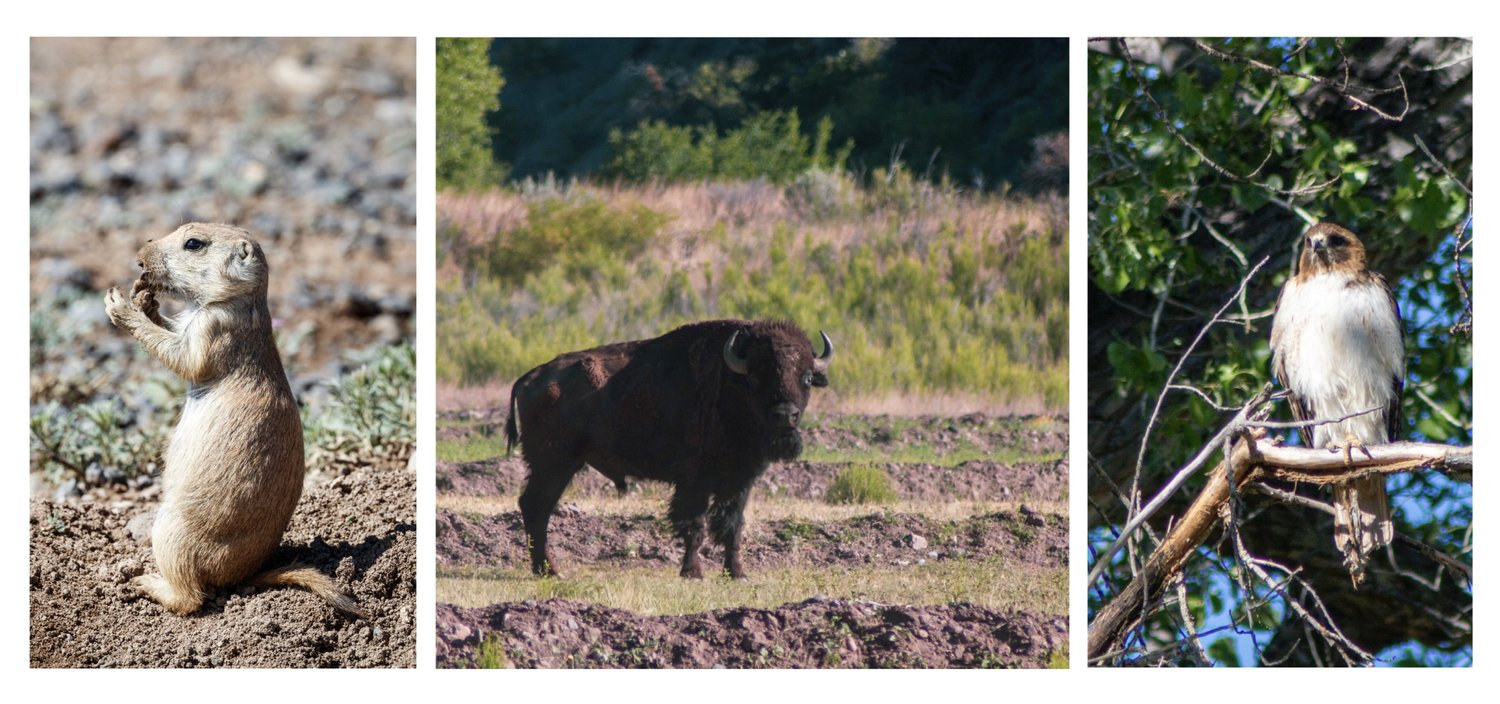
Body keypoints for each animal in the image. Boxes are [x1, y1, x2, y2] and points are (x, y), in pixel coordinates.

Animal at [504, 318, 834, 576]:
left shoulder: (740, 481)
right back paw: (550, 571)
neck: (730, 385)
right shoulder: (694, 482)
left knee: (537, 507)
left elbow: (732, 526)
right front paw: (693, 573)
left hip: (561, 464)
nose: (785, 415)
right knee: (536, 506)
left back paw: (546, 569)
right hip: (553, 463)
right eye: (755, 376)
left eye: (806, 378)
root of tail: (529, 378)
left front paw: (737, 573)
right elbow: (694, 525)